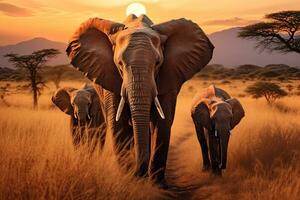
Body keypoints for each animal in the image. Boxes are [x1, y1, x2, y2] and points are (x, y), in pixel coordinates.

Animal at [67, 14, 214, 186]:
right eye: (120, 64)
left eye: (157, 63)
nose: (138, 174)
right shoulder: (110, 78)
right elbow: (119, 124)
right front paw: (128, 179)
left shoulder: (168, 77)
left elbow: (161, 123)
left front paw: (156, 184)